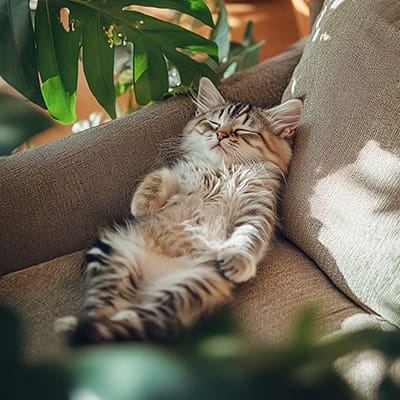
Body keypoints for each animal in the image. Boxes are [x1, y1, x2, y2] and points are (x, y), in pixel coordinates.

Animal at [54, 77, 302, 344]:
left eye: (242, 132)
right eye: (214, 124)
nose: (220, 135)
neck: (225, 170)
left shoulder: (258, 211)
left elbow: (248, 237)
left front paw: (237, 260)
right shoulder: (182, 176)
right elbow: (160, 176)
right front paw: (142, 204)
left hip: (188, 285)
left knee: (134, 322)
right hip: (113, 251)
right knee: (101, 313)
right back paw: (70, 327)